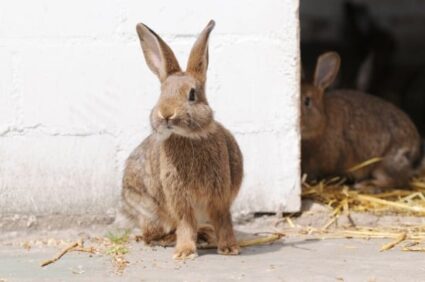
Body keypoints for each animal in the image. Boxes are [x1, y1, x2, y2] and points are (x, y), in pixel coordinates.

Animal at [121, 20, 243, 260]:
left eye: (192, 94)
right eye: (161, 93)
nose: (166, 114)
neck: (190, 137)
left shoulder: (220, 194)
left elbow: (223, 221)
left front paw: (229, 248)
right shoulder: (179, 196)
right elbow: (185, 223)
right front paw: (185, 252)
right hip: (149, 210)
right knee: (152, 235)